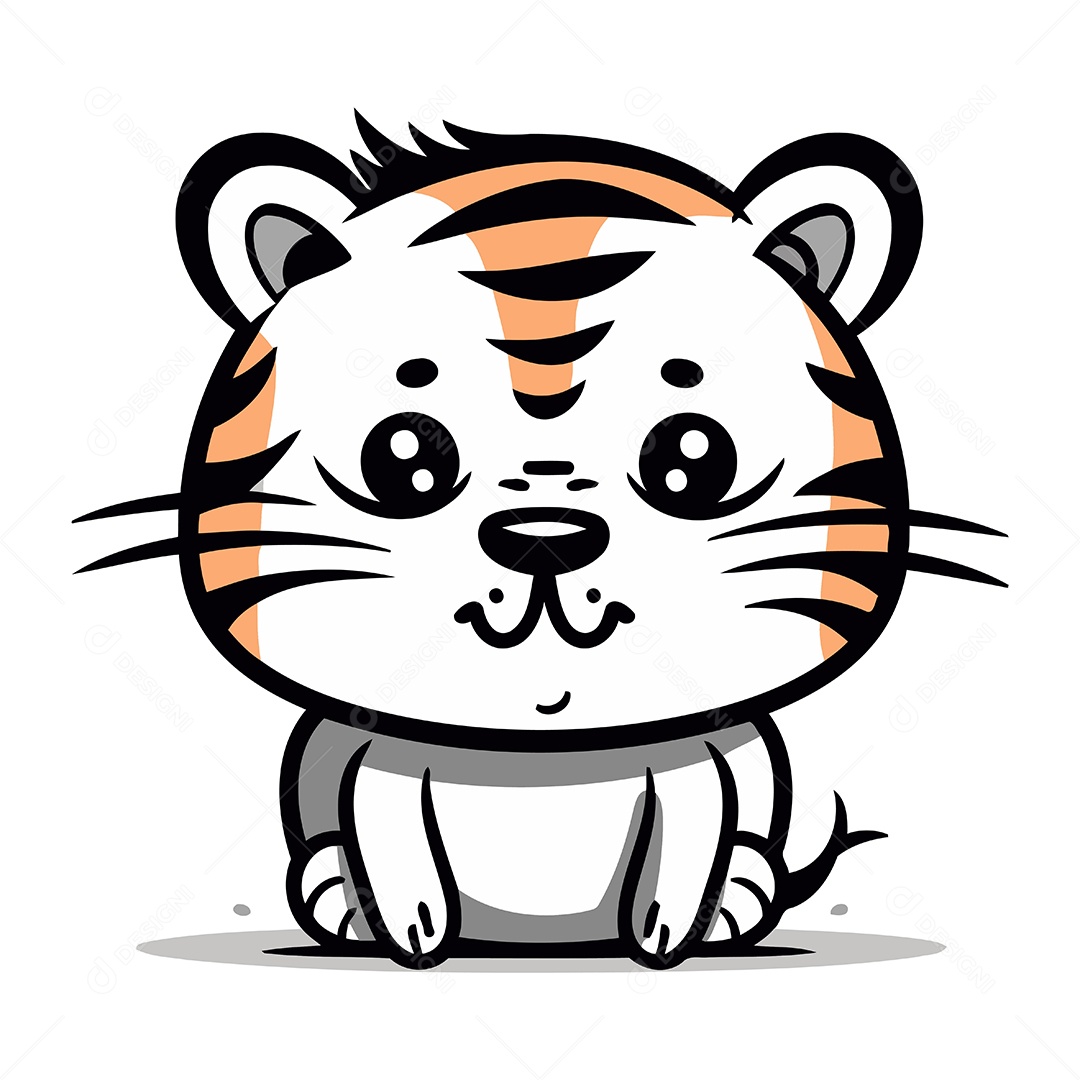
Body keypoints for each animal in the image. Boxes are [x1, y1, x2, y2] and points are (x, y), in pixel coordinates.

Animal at [77, 111, 1005, 969]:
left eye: (693, 456)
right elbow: (385, 826)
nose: (544, 539)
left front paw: (668, 931)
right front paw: (410, 929)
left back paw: (738, 897)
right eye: (403, 456)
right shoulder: (377, 755)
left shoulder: (697, 759)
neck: (541, 750)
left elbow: (693, 828)